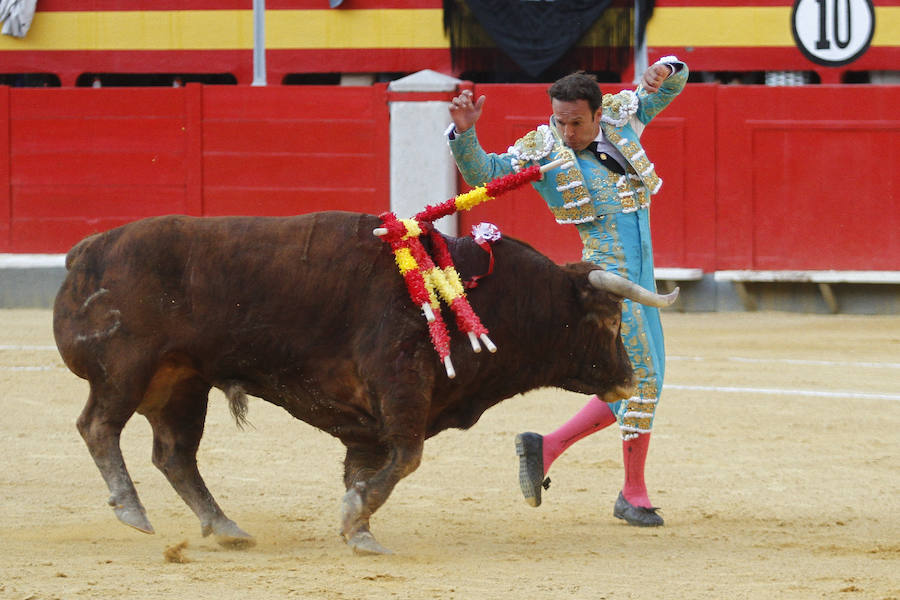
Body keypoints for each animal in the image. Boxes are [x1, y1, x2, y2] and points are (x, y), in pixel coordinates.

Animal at [54, 211, 676, 552]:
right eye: (611, 322)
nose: (629, 379)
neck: (479, 292)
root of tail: (84, 249)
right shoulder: (400, 383)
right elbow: (407, 459)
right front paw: (357, 517)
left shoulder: (367, 424)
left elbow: (371, 469)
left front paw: (360, 531)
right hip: (127, 370)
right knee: (99, 427)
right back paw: (132, 511)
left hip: (181, 384)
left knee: (175, 455)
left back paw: (225, 526)